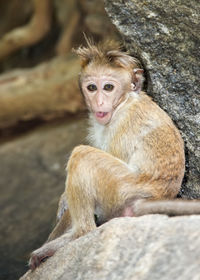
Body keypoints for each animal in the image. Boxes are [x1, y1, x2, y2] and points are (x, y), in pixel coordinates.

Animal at [28, 40, 200, 270]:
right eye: (92, 87)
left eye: (108, 87)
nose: (99, 103)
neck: (124, 100)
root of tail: (155, 196)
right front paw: (63, 199)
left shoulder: (124, 122)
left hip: (122, 187)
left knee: (82, 155)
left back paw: (78, 235)